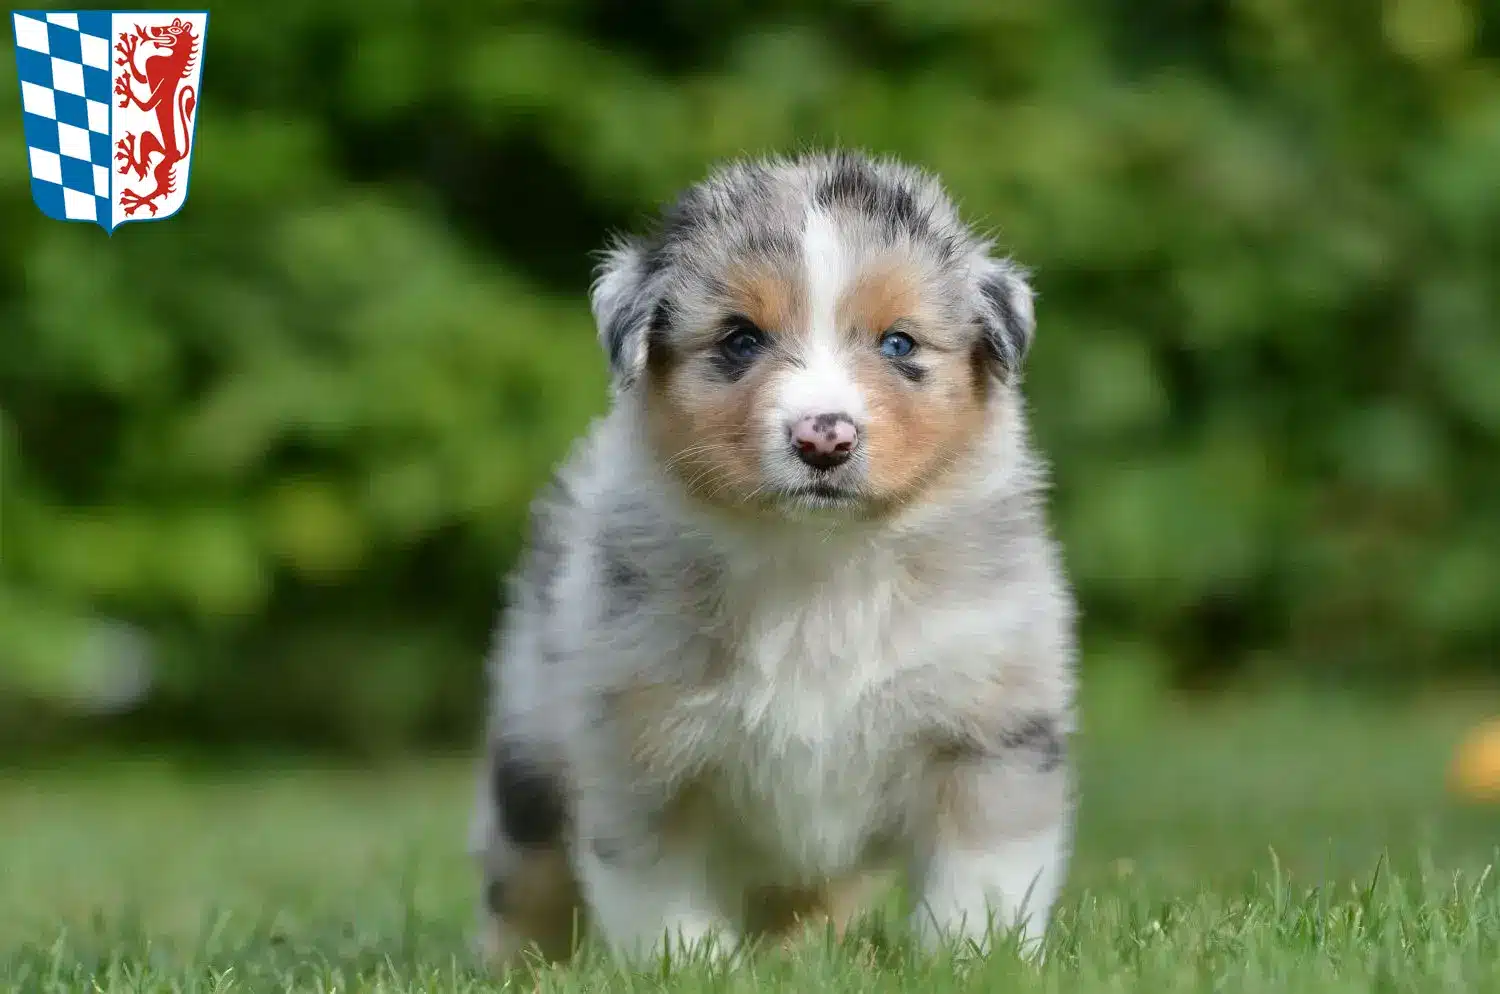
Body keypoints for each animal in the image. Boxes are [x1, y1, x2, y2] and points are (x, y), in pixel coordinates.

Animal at [468, 151, 1080, 965]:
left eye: (899, 344)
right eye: (740, 339)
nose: (825, 437)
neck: (815, 564)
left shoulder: (990, 729)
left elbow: (979, 878)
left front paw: (971, 959)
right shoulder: (641, 755)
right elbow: (664, 900)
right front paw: (694, 968)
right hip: (529, 754)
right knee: (523, 885)